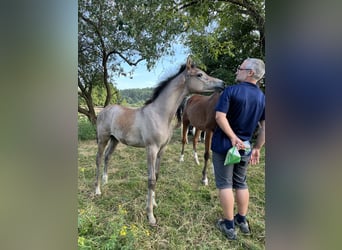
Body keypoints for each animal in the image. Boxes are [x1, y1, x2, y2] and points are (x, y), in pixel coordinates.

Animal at [95, 57, 223, 227]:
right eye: (200, 75)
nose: (222, 83)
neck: (160, 114)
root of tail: (104, 110)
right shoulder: (151, 149)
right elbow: (151, 180)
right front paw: (150, 216)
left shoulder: (162, 149)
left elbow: (157, 175)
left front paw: (154, 203)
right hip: (103, 139)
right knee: (99, 159)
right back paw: (97, 190)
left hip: (114, 140)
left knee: (107, 157)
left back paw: (105, 180)